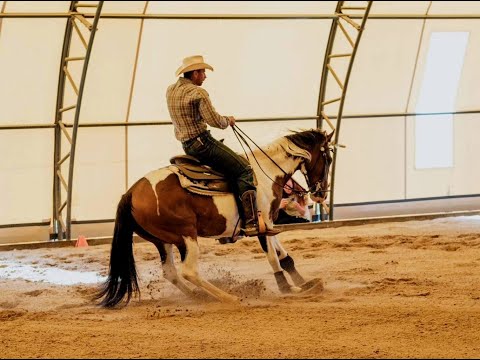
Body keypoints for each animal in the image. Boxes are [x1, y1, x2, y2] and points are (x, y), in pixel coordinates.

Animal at [94, 128, 334, 308]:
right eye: (328, 158)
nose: (321, 194)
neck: (265, 173)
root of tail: (131, 192)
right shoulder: (261, 223)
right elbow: (273, 258)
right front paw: (288, 288)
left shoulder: (269, 223)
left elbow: (284, 256)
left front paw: (306, 284)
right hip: (186, 236)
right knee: (189, 271)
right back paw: (229, 297)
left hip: (162, 241)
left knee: (171, 273)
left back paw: (200, 296)